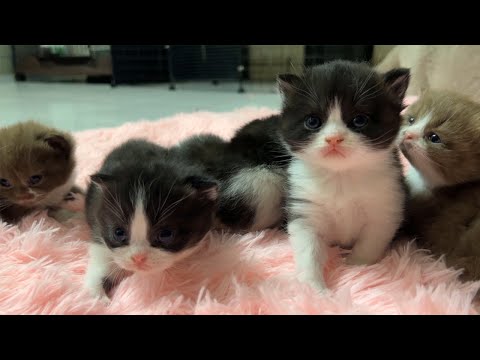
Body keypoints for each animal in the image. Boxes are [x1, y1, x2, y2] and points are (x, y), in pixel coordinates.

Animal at [280, 60, 410, 292]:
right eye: (313, 121)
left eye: (359, 120)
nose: (333, 138)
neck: (340, 176)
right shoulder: (304, 210)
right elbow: (308, 250)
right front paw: (313, 288)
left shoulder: (386, 208)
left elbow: (370, 243)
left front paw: (356, 268)